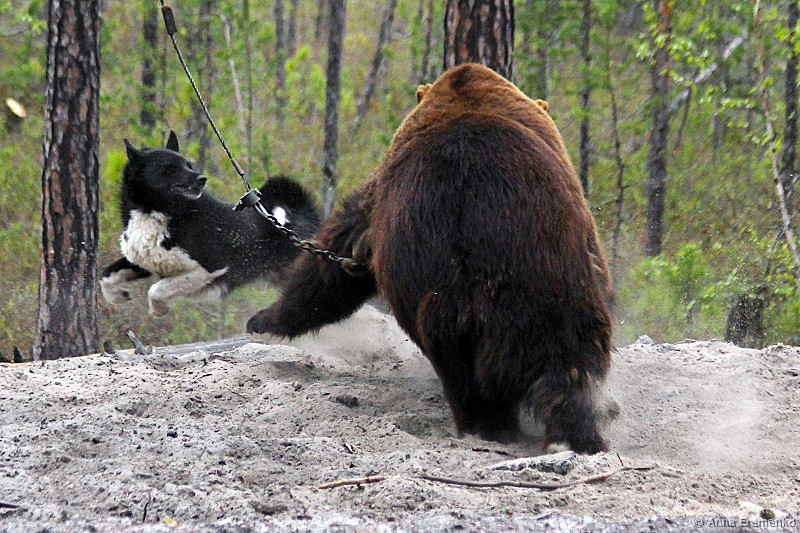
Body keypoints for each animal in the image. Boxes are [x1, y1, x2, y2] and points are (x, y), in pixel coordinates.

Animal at [100, 131, 320, 315]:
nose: (202, 178)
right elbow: (105, 277)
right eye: (169, 167)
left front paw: (159, 309)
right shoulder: (144, 261)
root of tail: (301, 214)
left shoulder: (210, 268)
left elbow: (156, 289)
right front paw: (118, 296)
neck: (161, 212)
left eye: (188, 165)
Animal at [247, 63, 613, 454]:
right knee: (563, 374)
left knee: (473, 377)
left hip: (486, 288)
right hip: (543, 288)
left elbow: (335, 257)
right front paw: (263, 318)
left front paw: (263, 317)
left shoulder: (378, 195)